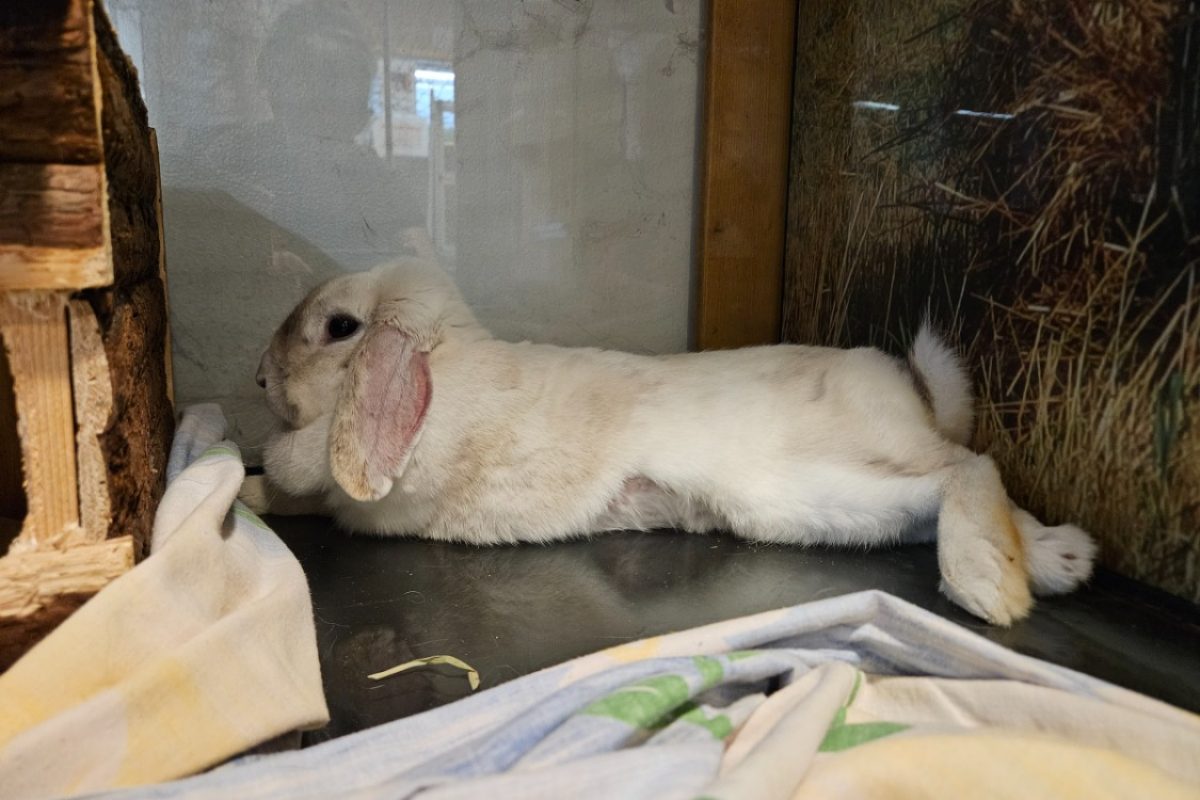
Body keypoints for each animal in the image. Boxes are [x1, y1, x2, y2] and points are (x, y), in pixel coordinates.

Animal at [243, 257, 1097, 625]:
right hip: (827, 504)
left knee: (970, 466)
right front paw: (246, 488)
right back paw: (1060, 559)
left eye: (338, 327)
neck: (444, 360)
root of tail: (909, 394)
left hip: (826, 479)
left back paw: (993, 584)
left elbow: (298, 469)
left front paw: (256, 480)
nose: (256, 378)